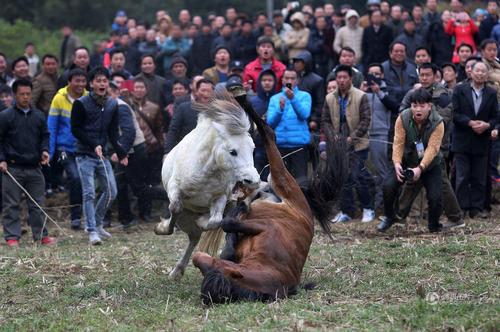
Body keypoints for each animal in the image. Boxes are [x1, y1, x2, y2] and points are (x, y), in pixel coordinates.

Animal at [154, 94, 260, 280]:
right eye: (233, 151)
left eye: (252, 148)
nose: (253, 180)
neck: (206, 170)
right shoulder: (175, 188)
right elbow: (175, 207)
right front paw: (162, 228)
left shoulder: (220, 197)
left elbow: (215, 220)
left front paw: (203, 220)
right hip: (184, 217)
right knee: (191, 233)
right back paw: (176, 270)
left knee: (195, 237)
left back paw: (179, 269)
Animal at [191, 93, 344, 304]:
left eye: (211, 266)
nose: (197, 258)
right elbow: (229, 241)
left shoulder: (265, 227)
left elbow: (228, 224)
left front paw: (239, 213)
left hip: (281, 177)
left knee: (270, 134)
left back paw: (243, 99)